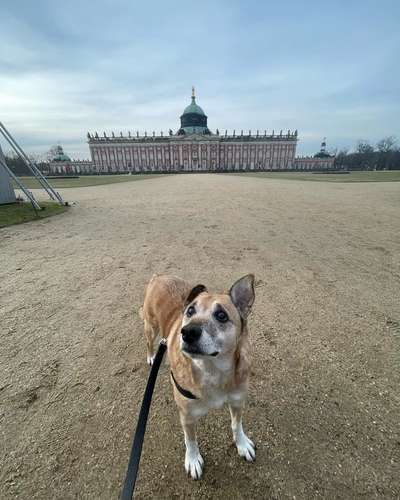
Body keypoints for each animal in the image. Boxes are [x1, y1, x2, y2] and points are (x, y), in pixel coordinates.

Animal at [142, 276, 256, 478]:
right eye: (190, 311)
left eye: (221, 315)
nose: (187, 332)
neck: (212, 369)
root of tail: (160, 276)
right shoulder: (187, 415)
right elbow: (191, 440)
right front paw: (193, 460)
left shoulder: (237, 400)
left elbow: (237, 425)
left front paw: (242, 444)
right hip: (151, 326)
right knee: (148, 341)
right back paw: (151, 356)